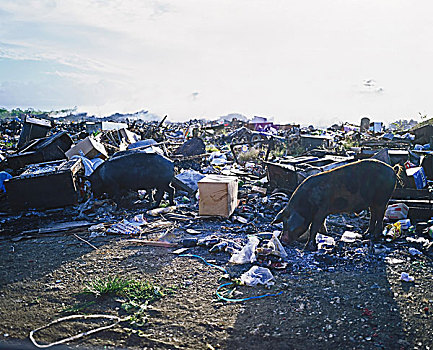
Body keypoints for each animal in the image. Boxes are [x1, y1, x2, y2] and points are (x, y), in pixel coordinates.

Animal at [272, 160, 400, 250]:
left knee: (380, 215)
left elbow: (314, 226)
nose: (283, 240)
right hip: (374, 202)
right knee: (373, 215)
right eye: (283, 223)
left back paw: (375, 236)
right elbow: (321, 225)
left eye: (287, 223)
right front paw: (325, 235)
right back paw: (366, 235)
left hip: (382, 199)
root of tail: (393, 170)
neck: (306, 203)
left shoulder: (322, 210)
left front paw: (309, 247)